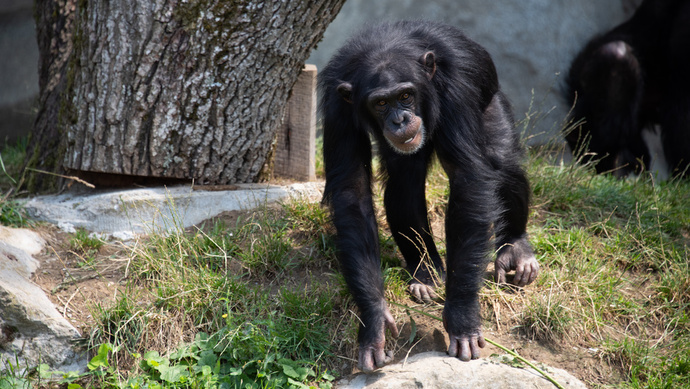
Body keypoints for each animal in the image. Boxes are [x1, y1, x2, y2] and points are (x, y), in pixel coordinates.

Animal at [318, 19, 536, 372]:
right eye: (381, 103)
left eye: (406, 96)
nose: (400, 119)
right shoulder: (337, 107)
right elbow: (352, 191)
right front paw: (374, 319)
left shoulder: (458, 88)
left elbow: (468, 178)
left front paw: (461, 317)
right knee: (405, 180)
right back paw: (426, 273)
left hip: (491, 101)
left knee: (503, 162)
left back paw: (516, 248)